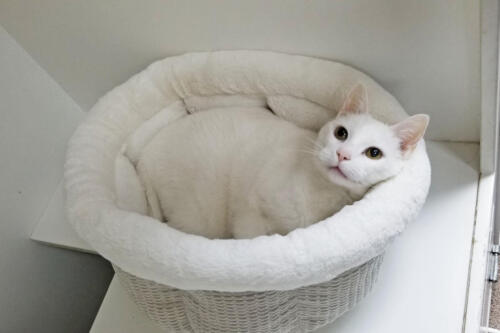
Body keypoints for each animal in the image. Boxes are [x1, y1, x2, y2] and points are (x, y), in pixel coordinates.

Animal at [136, 84, 426, 237]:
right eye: (341, 133)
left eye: (374, 153)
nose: (342, 154)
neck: (319, 192)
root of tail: (147, 153)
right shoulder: (249, 213)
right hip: (198, 215)